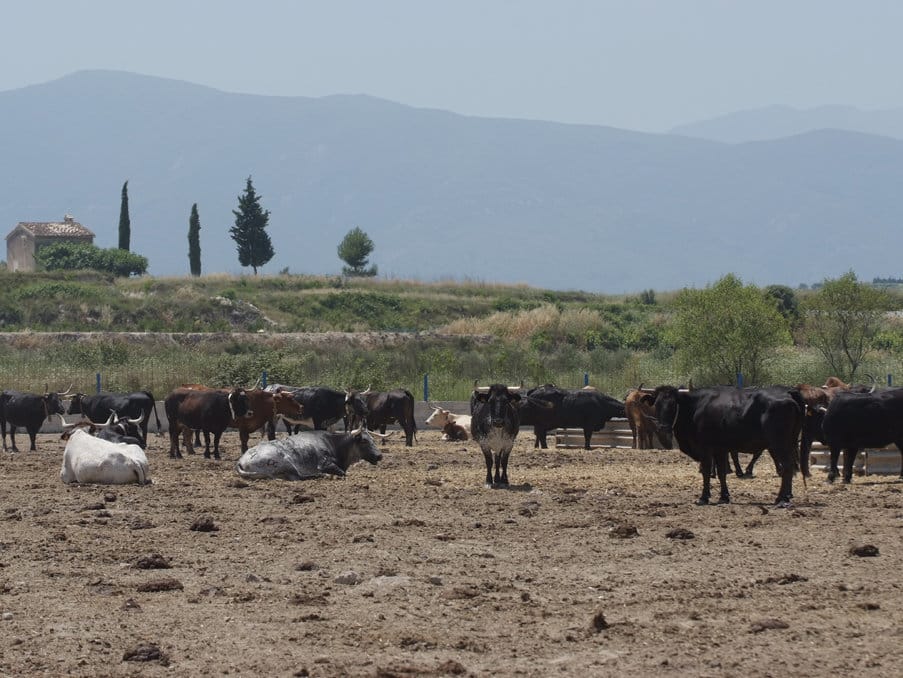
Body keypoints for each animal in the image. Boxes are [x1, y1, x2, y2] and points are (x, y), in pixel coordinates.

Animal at [233, 428, 384, 480]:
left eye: (373, 439)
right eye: (364, 440)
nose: (379, 455)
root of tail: (242, 459)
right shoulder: (324, 464)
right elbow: (341, 472)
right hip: (286, 461)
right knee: (298, 477)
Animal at [648, 386, 804, 508]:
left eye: (672, 405)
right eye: (656, 405)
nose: (662, 429)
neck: (696, 407)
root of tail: (788, 393)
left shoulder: (706, 448)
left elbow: (706, 472)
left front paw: (703, 497)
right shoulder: (720, 449)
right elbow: (722, 472)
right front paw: (724, 496)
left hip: (780, 444)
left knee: (787, 467)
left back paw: (782, 499)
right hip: (789, 443)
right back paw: (783, 497)